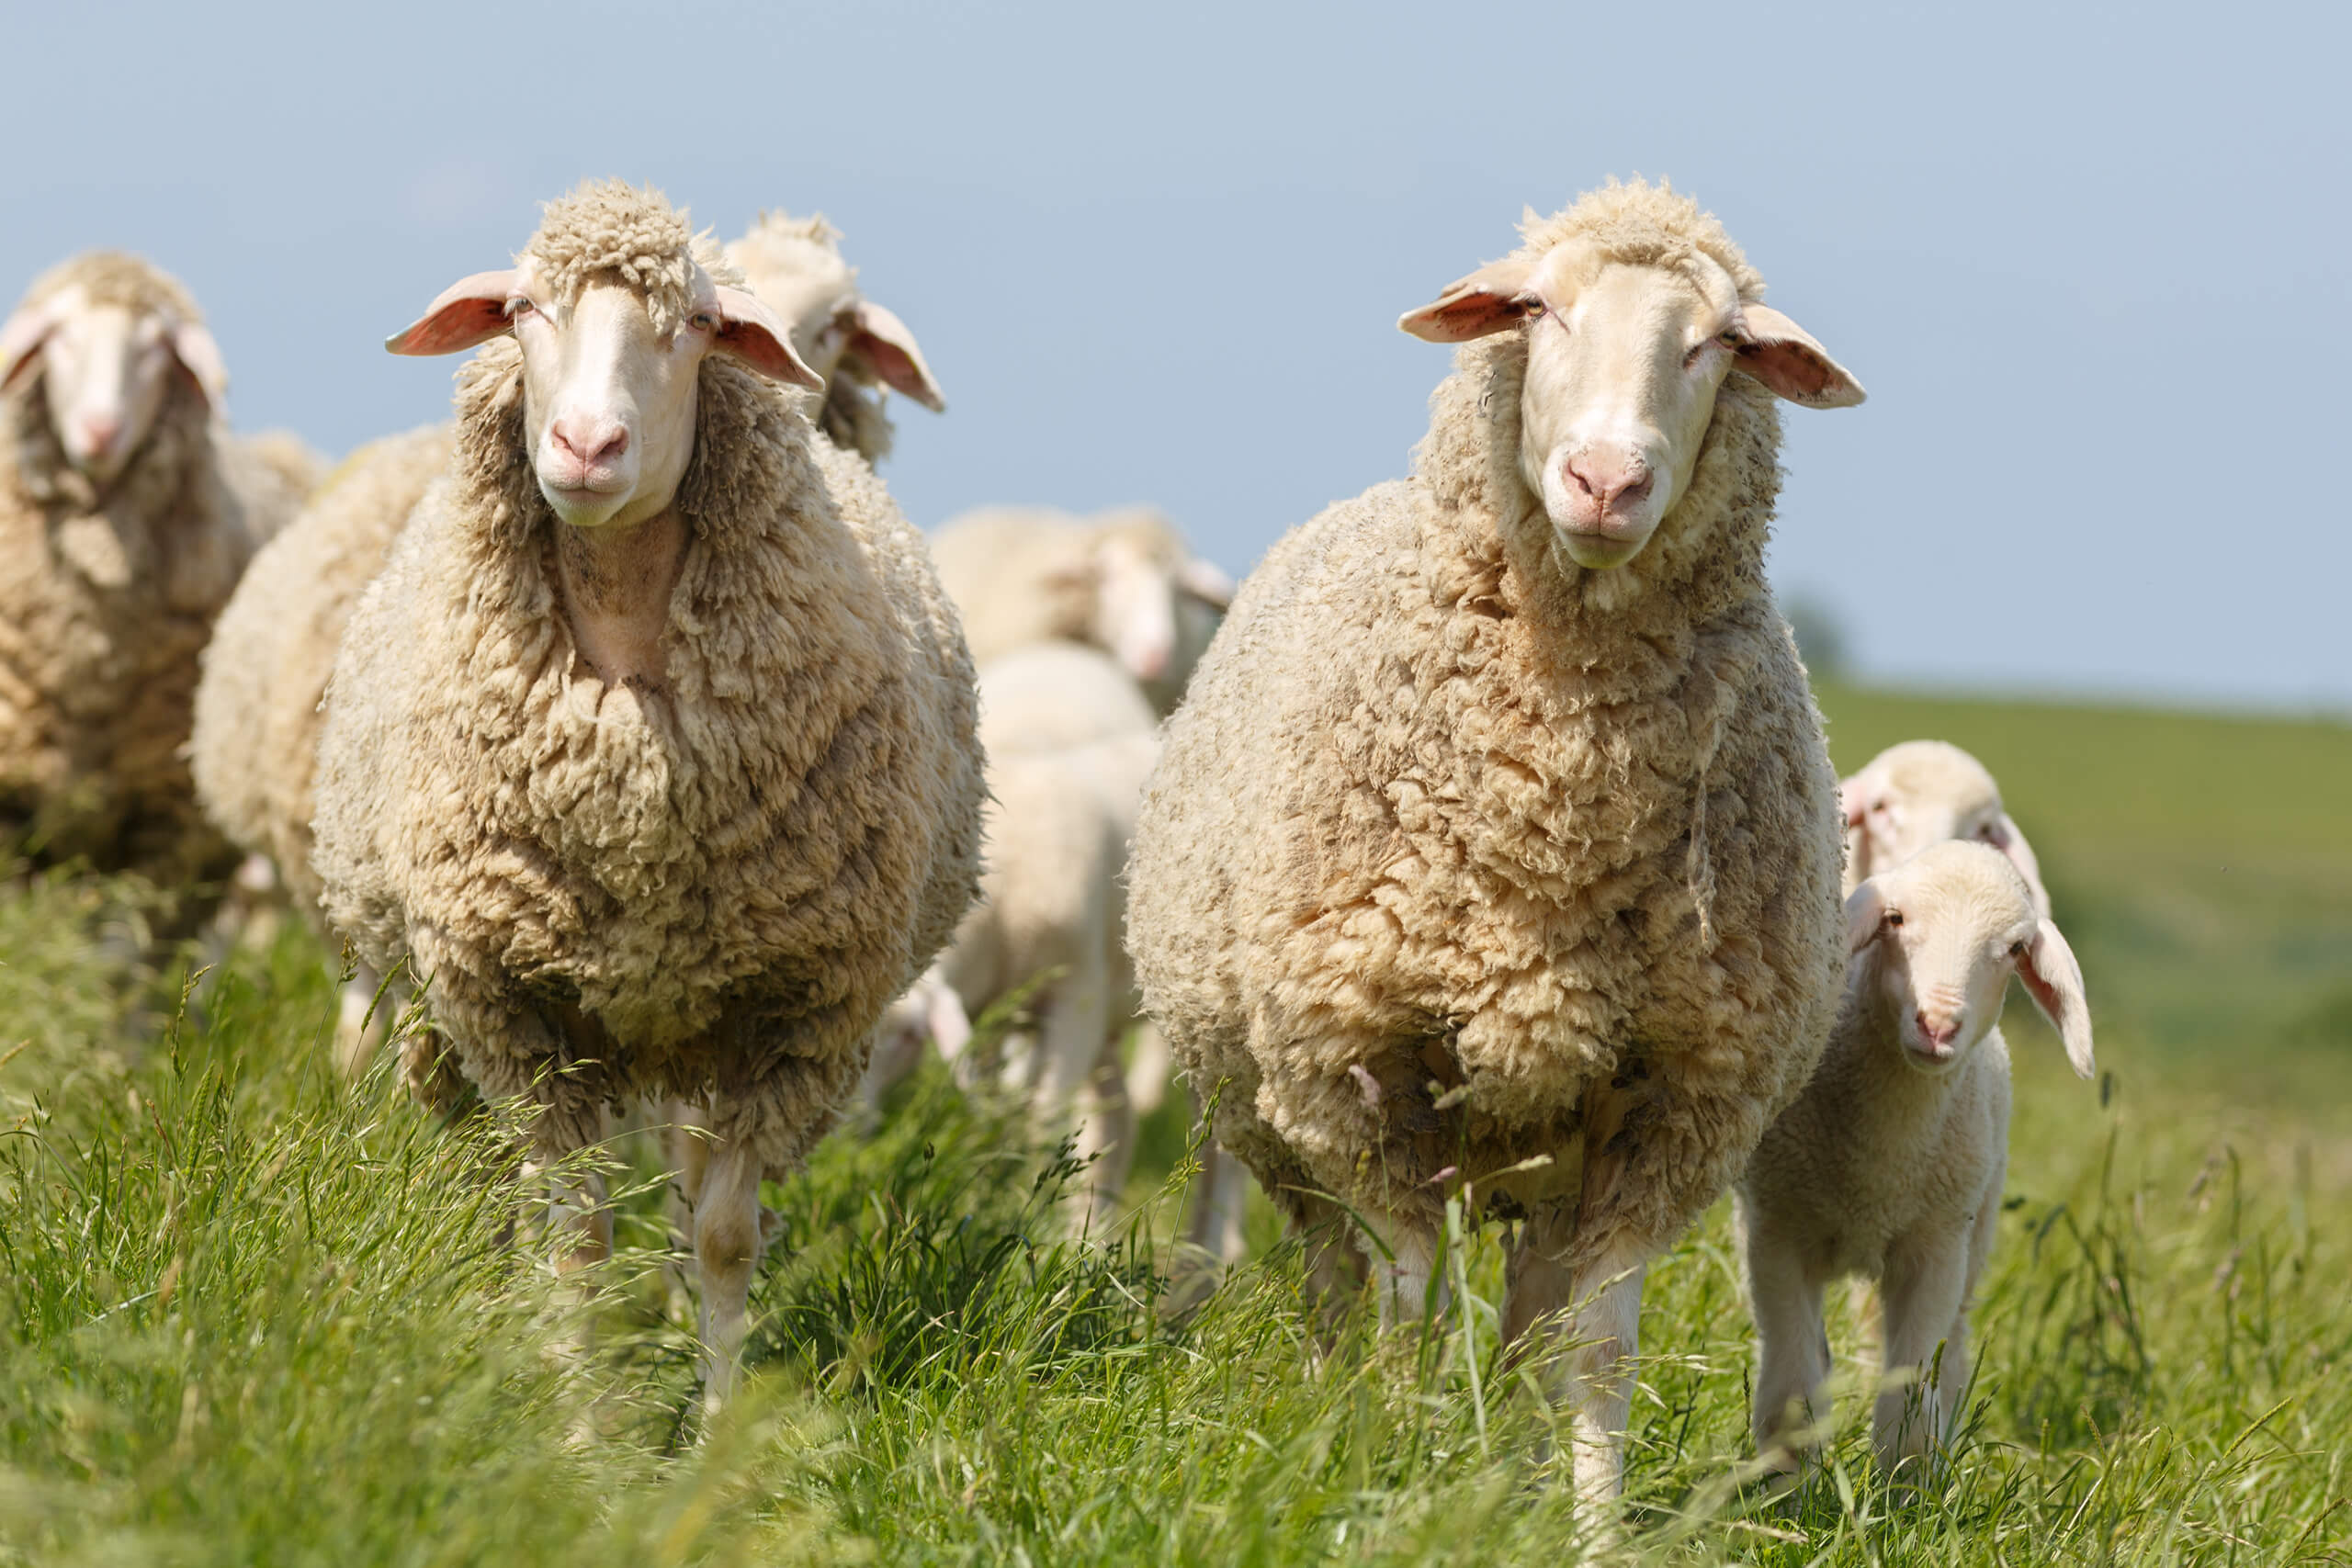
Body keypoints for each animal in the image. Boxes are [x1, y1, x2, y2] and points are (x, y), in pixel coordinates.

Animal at [305, 181, 986, 1410]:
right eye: (522, 310)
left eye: (702, 327)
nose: (586, 445)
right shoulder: (517, 1005)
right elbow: (577, 1240)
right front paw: (581, 1425)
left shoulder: (783, 1010)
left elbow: (719, 1234)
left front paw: (714, 1423)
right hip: (435, 1001)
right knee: (488, 1179)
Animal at [1125, 178, 1868, 1502]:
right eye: (1537, 310)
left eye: (1718, 343)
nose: (1606, 480)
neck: (1553, 803)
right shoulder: (1361, 1069)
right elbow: (1407, 1304)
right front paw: (1383, 1468)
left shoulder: (1674, 1106)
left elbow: (1601, 1348)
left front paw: (1589, 1518)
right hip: (1272, 1112)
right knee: (1333, 1279)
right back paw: (1333, 1407)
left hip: (1552, 1146)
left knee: (1530, 1314)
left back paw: (1511, 1473)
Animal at [1737, 839, 2093, 1479]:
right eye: (1896, 920)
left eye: (2014, 949)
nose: (1939, 1024)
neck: (1880, 1167)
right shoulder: (1776, 1232)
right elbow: (1792, 1397)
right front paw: (1788, 1491)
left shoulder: (1936, 1248)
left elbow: (1910, 1407)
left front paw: (1904, 1492)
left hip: (1975, 1232)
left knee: (1951, 1356)